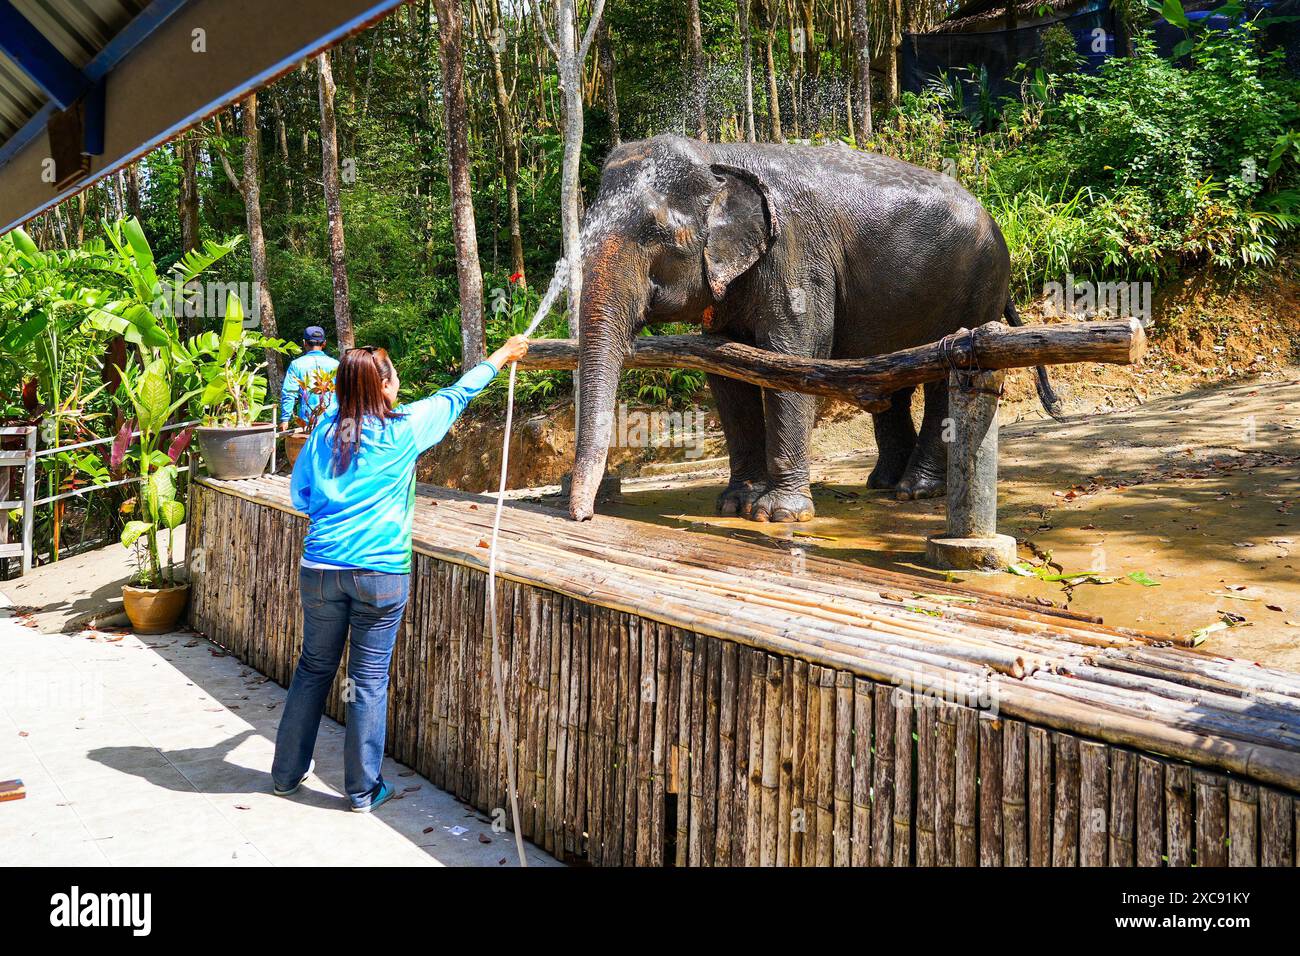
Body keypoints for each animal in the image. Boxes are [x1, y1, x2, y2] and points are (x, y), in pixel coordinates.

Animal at [566, 132, 1055, 522]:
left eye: (656, 232)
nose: (583, 517)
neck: (717, 154)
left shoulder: (796, 253)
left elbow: (794, 355)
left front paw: (777, 514)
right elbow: (726, 370)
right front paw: (735, 504)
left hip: (977, 287)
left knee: (940, 377)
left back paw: (914, 490)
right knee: (894, 377)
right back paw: (882, 483)